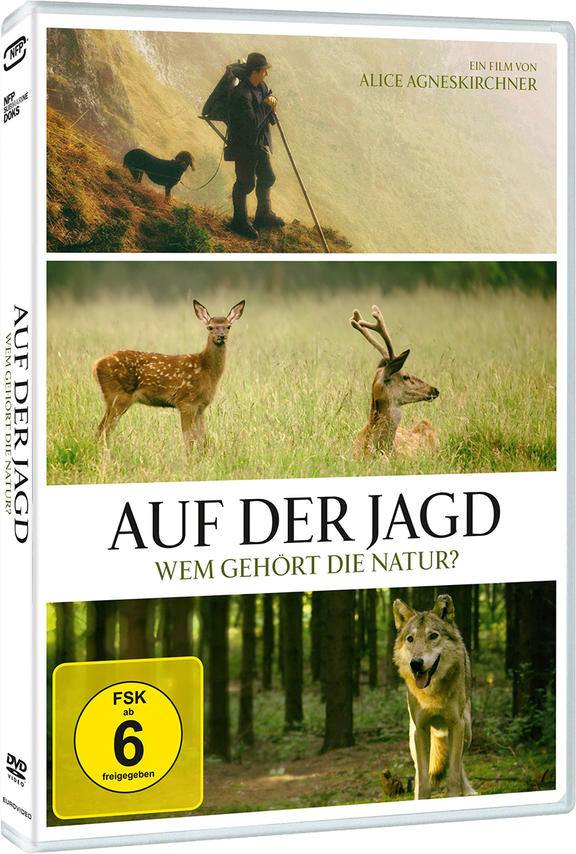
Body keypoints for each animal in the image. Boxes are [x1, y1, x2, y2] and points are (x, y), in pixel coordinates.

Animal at [93, 299, 245, 450]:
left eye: (228, 326)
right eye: (210, 327)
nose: (221, 336)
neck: (206, 369)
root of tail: (96, 365)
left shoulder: (201, 406)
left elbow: (202, 440)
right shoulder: (186, 402)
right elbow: (188, 439)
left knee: (101, 429)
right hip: (117, 396)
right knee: (103, 430)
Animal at [393, 594, 476, 799]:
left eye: (433, 636)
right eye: (410, 639)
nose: (416, 663)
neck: (432, 695)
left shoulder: (456, 725)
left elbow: (453, 774)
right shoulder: (421, 729)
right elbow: (423, 781)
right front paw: (420, 797)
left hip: (467, 733)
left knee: (459, 765)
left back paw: (468, 790)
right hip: (414, 740)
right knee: (417, 771)